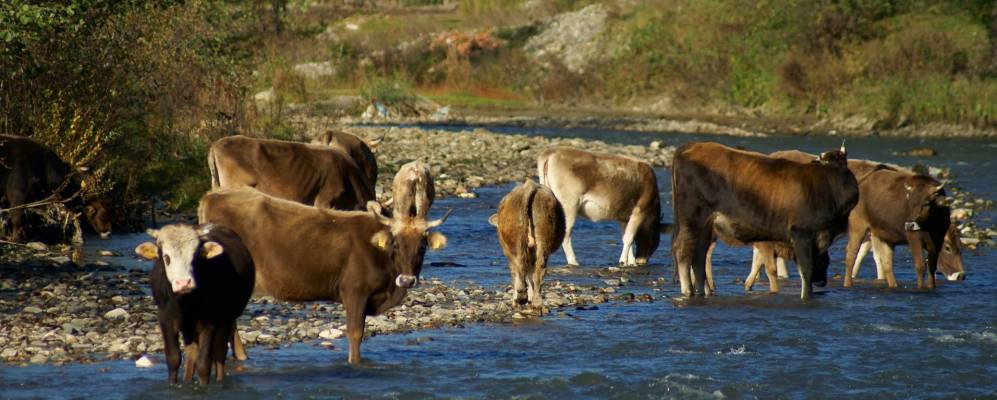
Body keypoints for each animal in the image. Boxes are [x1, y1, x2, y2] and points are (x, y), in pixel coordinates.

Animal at [134, 223, 253, 382]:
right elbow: (174, 358)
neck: (185, 303)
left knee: (219, 353)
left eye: (195, 257)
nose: (184, 283)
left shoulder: (210, 321)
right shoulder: (165, 319)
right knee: (192, 356)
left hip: (227, 319)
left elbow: (204, 363)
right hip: (190, 329)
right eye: (166, 257)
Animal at [198, 188, 448, 366]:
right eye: (395, 243)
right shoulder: (354, 291)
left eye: (422, 246)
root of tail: (213, 195)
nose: (407, 280)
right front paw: (354, 363)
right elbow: (355, 333)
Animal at [486, 179, 564, 312]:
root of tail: (529, 185)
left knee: (519, 268)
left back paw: (519, 299)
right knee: (538, 269)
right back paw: (536, 302)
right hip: (542, 241)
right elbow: (531, 275)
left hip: (515, 247)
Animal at [672, 142, 860, 298]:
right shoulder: (802, 233)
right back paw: (687, 291)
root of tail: (690, 146)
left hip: (705, 226)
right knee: (683, 250)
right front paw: (806, 297)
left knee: (699, 256)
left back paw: (702, 291)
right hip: (693, 218)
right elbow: (807, 270)